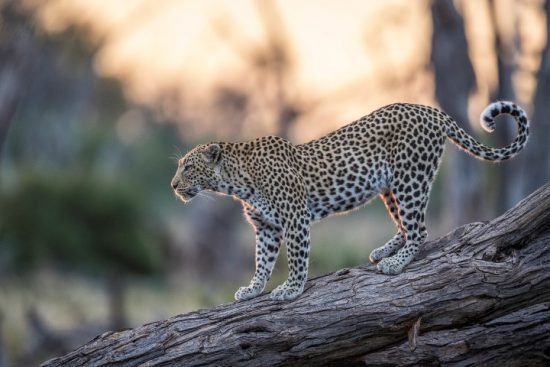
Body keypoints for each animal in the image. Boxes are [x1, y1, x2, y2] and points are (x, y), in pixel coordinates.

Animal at [171, 101, 532, 302]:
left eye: (187, 167)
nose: (173, 185)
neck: (237, 182)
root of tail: (429, 110)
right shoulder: (266, 228)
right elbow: (262, 261)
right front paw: (253, 289)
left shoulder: (295, 219)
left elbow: (297, 258)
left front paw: (291, 289)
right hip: (390, 187)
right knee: (405, 226)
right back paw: (385, 252)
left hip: (410, 179)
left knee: (419, 230)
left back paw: (396, 263)